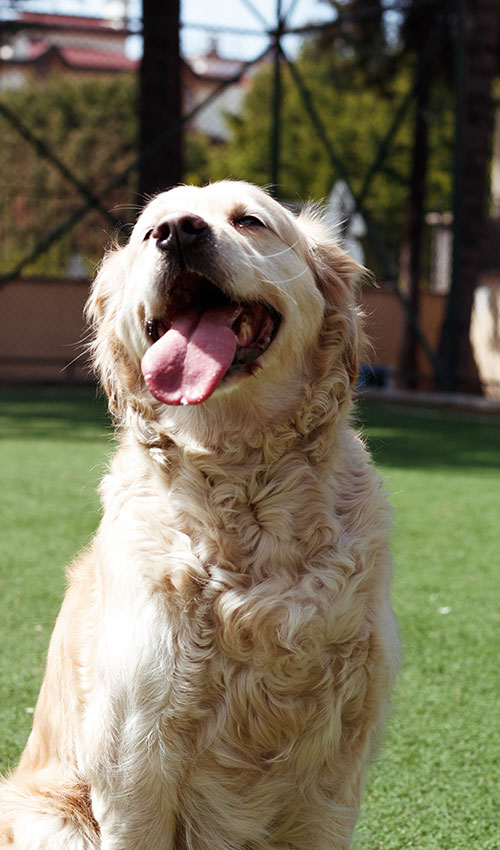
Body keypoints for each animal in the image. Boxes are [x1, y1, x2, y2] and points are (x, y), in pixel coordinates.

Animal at [0, 182, 398, 844]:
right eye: (149, 230)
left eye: (250, 220)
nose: (179, 232)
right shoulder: (133, 761)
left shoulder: (334, 780)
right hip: (56, 817)